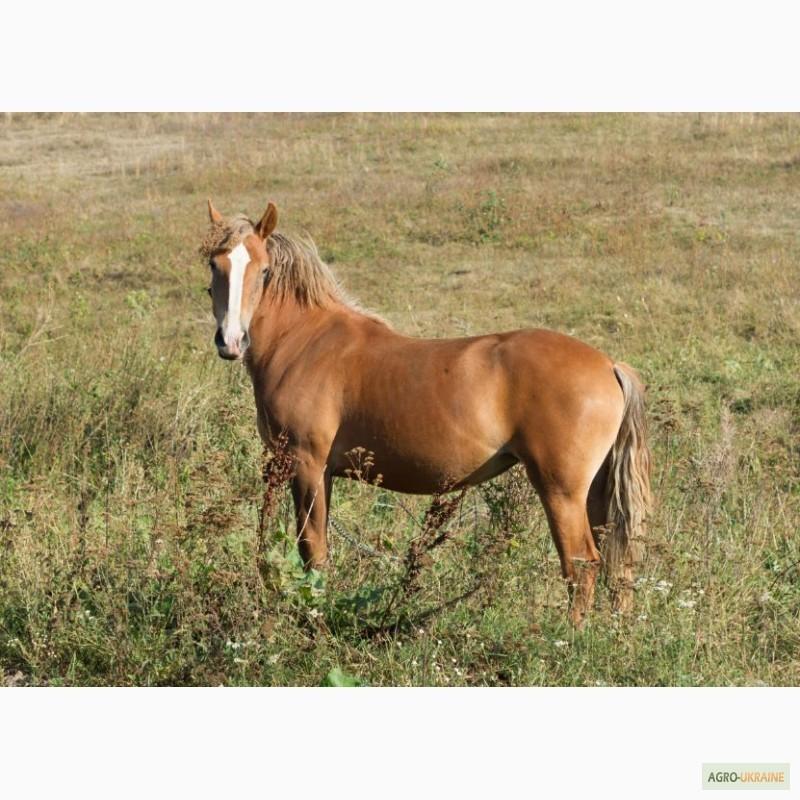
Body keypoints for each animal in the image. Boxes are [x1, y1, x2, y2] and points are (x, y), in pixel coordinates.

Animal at [200, 199, 651, 626]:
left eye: (263, 270)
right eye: (214, 264)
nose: (230, 341)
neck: (305, 341)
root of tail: (609, 365)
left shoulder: (306, 464)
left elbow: (313, 551)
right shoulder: (318, 472)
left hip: (561, 491)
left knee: (582, 564)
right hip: (594, 491)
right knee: (618, 563)